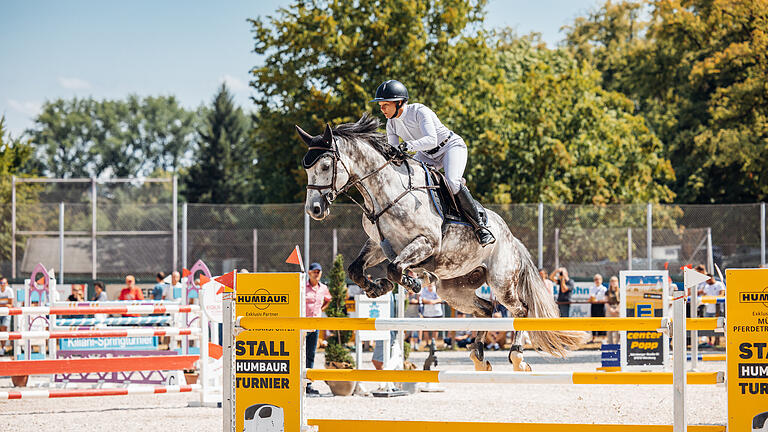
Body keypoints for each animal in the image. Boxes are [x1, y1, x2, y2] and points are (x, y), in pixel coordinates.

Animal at [296, 113, 584, 370]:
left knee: (520, 310)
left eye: (325, 166)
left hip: (501, 282)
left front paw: (410, 282)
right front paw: (378, 288)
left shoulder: (426, 242)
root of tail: (512, 239)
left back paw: (517, 356)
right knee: (486, 309)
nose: (314, 210)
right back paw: (479, 356)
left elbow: (395, 268)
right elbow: (356, 269)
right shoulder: (379, 245)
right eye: (306, 167)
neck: (386, 191)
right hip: (453, 289)